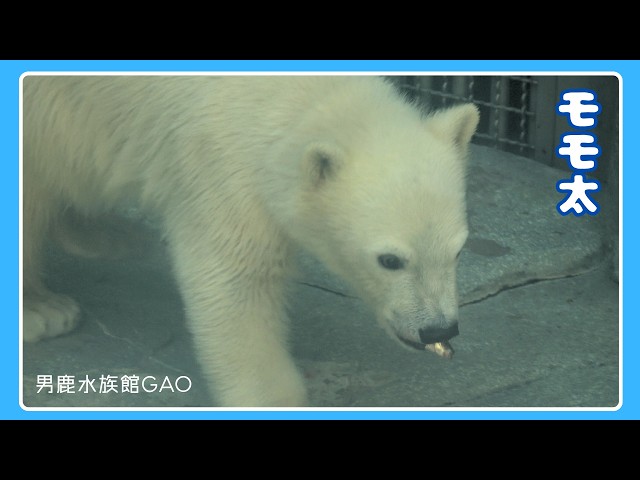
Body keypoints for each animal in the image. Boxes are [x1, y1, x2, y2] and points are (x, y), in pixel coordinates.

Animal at [22, 75, 479, 407]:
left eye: (458, 250)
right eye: (390, 260)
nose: (438, 329)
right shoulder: (223, 162)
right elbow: (234, 281)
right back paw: (44, 309)